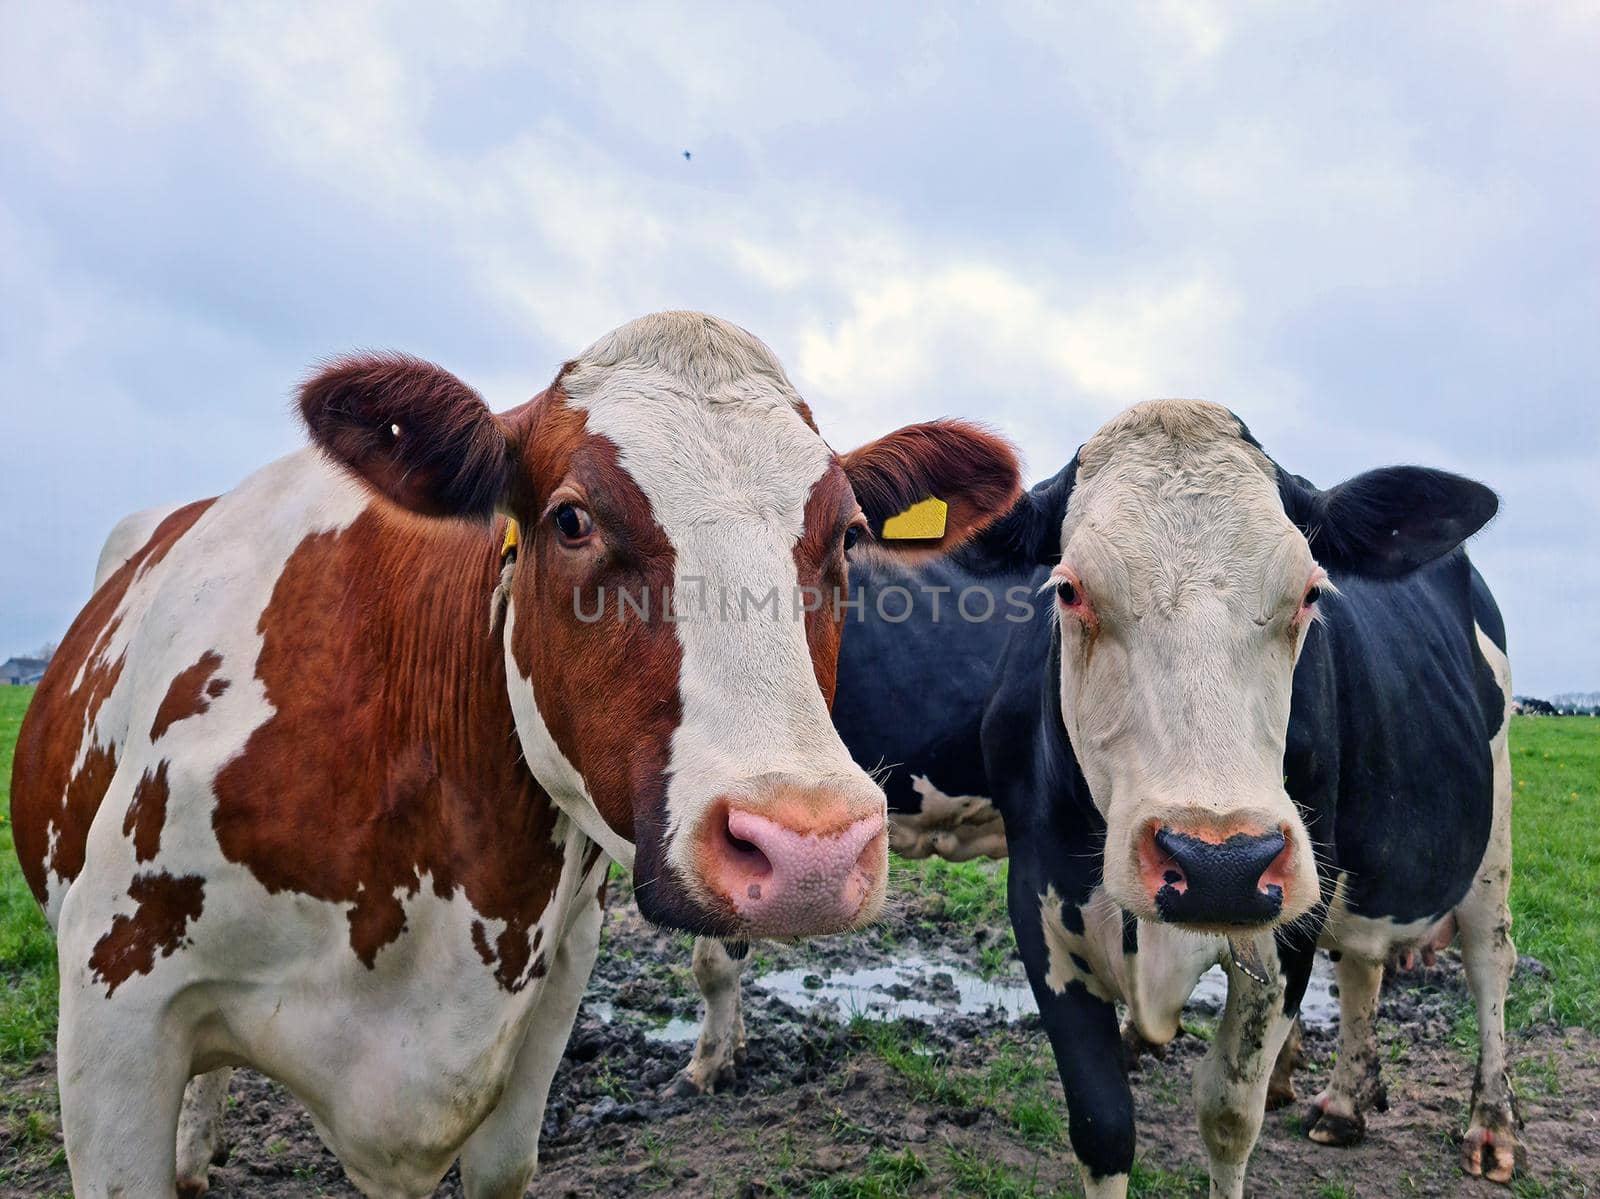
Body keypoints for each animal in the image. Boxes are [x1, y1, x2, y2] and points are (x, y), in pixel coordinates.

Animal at [684, 401, 1510, 1197]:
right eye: (1069, 588)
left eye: (1310, 591)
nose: (1218, 863)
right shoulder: (1042, 905)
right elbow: (1103, 1123)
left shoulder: (1287, 920)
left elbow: (1227, 1115)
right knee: (1364, 960)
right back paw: (1339, 1102)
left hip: (1488, 829)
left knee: (1488, 958)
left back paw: (1491, 1127)